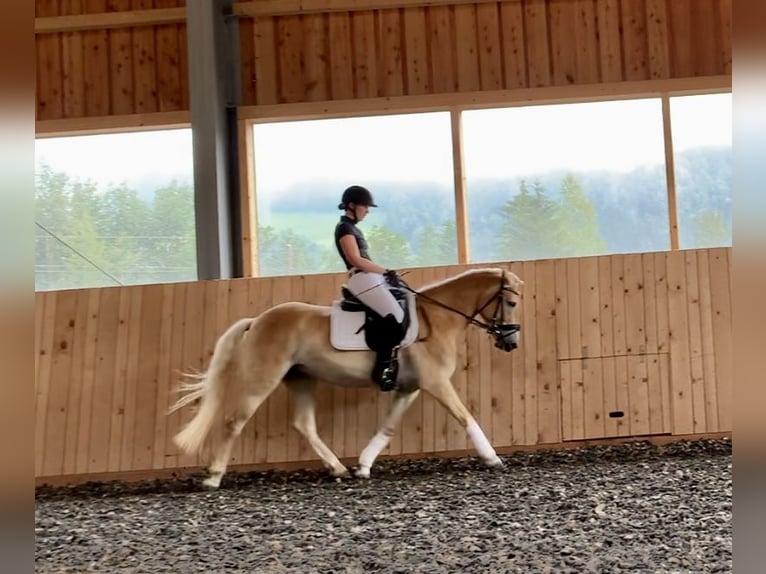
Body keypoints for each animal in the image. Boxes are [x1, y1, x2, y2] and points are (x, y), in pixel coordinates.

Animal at [171, 268, 524, 488]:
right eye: (510, 302)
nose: (511, 343)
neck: (436, 318)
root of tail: (257, 320)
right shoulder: (436, 383)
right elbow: (465, 417)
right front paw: (492, 458)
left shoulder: (410, 387)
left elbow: (388, 427)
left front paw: (363, 465)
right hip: (263, 378)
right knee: (234, 421)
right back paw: (213, 477)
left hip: (300, 378)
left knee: (303, 425)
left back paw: (337, 468)